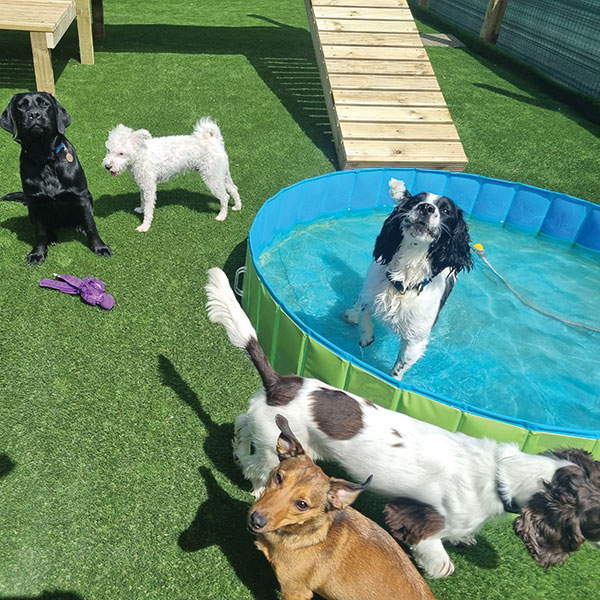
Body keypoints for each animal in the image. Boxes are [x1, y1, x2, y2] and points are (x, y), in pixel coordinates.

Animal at [0, 91, 111, 264]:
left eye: (45, 104)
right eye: (21, 106)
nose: (34, 114)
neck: (44, 158)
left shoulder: (82, 196)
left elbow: (91, 225)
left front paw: (100, 247)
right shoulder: (35, 203)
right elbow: (40, 232)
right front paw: (37, 253)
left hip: (89, 196)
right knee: (48, 227)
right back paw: (51, 237)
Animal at [103, 118, 241, 232]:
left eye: (121, 153)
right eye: (108, 150)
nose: (107, 166)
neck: (140, 154)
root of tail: (215, 140)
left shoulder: (149, 187)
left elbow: (149, 208)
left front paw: (145, 226)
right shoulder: (143, 185)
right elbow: (143, 200)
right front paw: (141, 210)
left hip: (212, 177)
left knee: (225, 197)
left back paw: (221, 216)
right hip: (221, 174)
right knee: (233, 188)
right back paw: (237, 206)